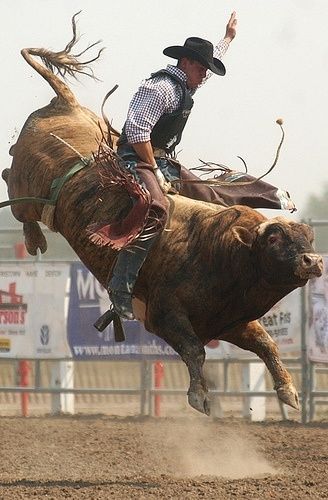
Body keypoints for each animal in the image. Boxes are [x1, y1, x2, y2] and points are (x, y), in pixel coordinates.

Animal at [1, 14, 322, 414]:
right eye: (275, 238)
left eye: (309, 238)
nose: (313, 261)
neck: (220, 250)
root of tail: (67, 104)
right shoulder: (164, 315)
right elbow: (195, 351)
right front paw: (200, 396)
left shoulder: (232, 321)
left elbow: (267, 344)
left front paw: (289, 392)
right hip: (28, 186)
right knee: (12, 184)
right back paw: (33, 239)